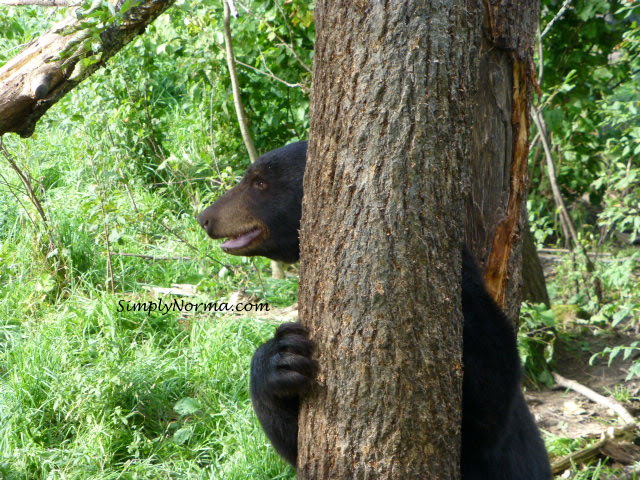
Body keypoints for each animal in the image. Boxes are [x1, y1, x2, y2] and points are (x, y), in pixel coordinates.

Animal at [198, 142, 552, 480]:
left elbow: (486, 407)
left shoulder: (476, 317)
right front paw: (282, 357)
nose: (205, 217)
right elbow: (294, 441)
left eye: (259, 182)